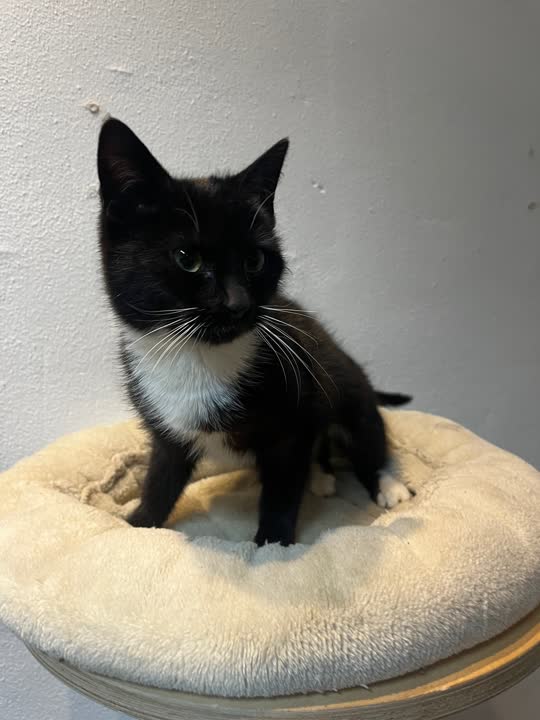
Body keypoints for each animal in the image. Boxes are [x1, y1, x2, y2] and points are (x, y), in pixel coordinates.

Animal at [97, 117, 413, 546]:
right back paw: (322, 476)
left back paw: (387, 484)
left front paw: (273, 545)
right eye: (188, 259)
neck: (197, 354)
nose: (238, 303)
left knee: (366, 435)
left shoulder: (291, 423)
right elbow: (160, 479)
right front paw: (138, 524)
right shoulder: (168, 430)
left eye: (255, 260)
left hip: (347, 384)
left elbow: (282, 487)